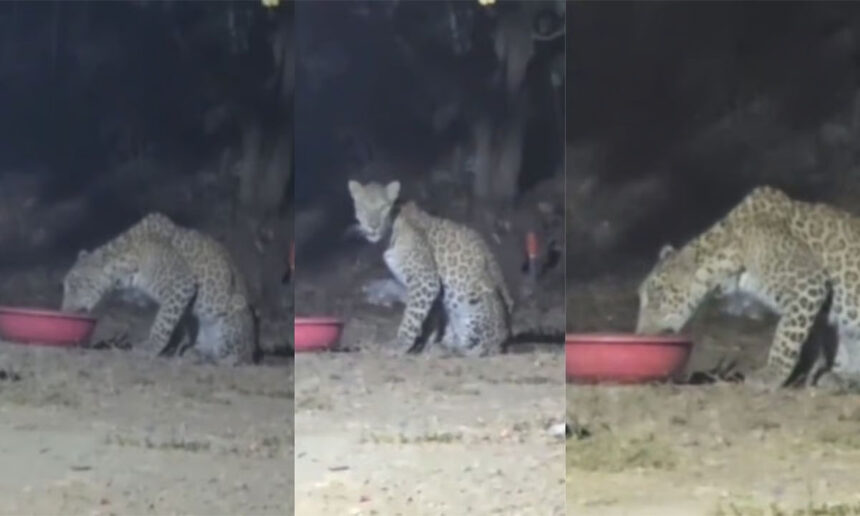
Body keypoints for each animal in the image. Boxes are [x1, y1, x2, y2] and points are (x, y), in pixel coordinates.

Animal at [61, 212, 256, 366]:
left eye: (78, 285)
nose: (65, 309)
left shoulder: (181, 284)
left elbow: (162, 322)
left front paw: (150, 347)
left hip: (234, 316)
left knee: (236, 358)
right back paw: (194, 353)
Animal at [347, 179, 514, 356]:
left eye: (383, 207)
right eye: (362, 206)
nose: (373, 226)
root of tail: (506, 338)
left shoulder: (425, 280)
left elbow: (411, 317)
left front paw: (400, 344)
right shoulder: (430, 290)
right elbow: (428, 318)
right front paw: (423, 343)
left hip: (476, 300)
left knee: (482, 348)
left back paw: (450, 350)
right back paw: (443, 345)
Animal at [635, 184, 860, 390]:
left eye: (657, 297)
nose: (640, 334)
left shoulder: (809, 282)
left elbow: (786, 337)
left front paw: (772, 374)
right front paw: (836, 373)